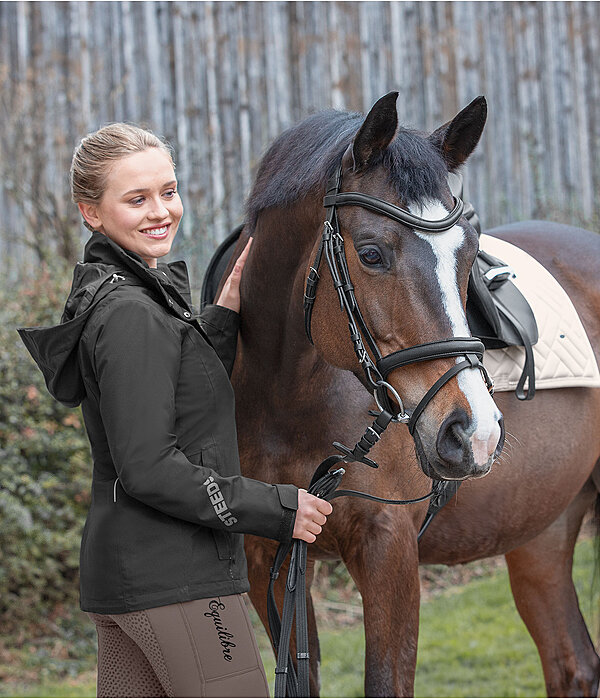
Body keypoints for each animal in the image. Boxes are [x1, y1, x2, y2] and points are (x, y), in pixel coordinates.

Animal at [211, 91, 600, 696]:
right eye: (370, 254)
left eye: (468, 253)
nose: (474, 433)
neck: (287, 398)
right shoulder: (269, 556)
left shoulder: (389, 550)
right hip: (543, 527)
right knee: (572, 664)